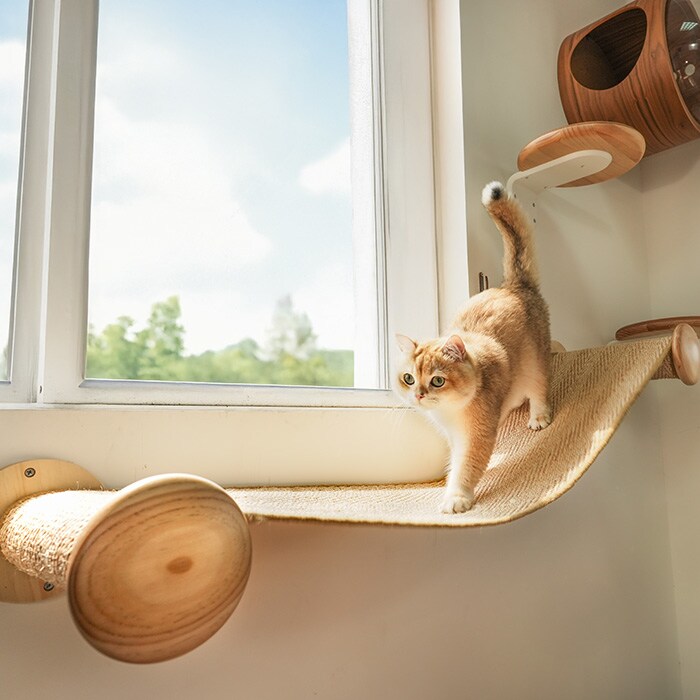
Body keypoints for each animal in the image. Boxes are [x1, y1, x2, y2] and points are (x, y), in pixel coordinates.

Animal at [395, 181, 552, 513]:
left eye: (437, 380)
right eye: (409, 378)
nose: (419, 395)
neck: (450, 413)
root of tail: (511, 286)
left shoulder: (476, 436)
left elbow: (466, 467)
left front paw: (456, 497)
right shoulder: (455, 437)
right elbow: (457, 461)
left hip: (536, 360)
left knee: (540, 388)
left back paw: (539, 417)